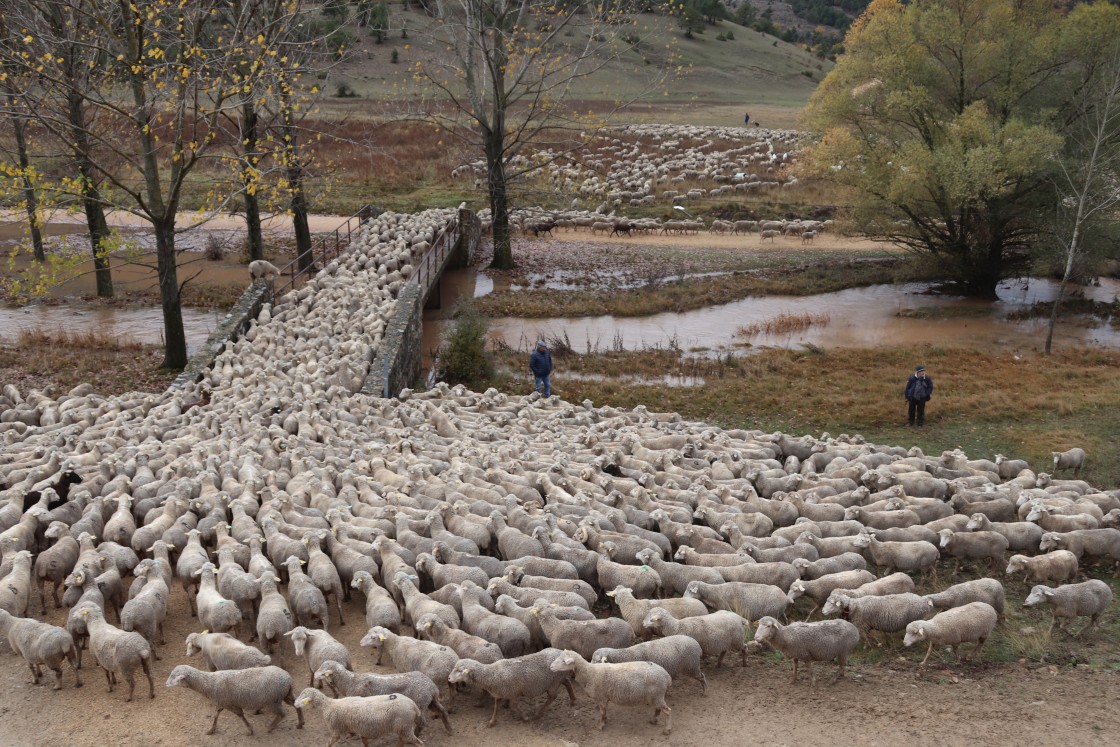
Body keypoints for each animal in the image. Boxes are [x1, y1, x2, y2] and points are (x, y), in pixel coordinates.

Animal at [163, 667, 300, 734]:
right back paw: (301, 723)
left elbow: (241, 716)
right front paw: (211, 730)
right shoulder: (220, 702)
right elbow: (216, 715)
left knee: (282, 714)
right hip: (286, 695)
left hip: (272, 701)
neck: (208, 683)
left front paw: (250, 730)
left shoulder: (230, 705)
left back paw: (271, 727)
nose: (166, 684)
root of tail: (288, 679)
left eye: (173, 676)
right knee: (297, 705)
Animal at [293, 689, 423, 747]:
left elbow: (330, 743)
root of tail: (414, 706)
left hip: (404, 726)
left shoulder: (336, 730)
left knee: (418, 743)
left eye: (303, 698)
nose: (294, 703)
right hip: (403, 727)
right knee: (402, 740)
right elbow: (362, 739)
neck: (328, 705)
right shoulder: (357, 728)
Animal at [313, 663, 452, 734]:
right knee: (442, 711)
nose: (314, 675)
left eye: (323, 671)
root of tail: (432, 687)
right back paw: (449, 728)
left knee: (422, 723)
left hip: (420, 703)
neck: (349, 681)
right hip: (431, 701)